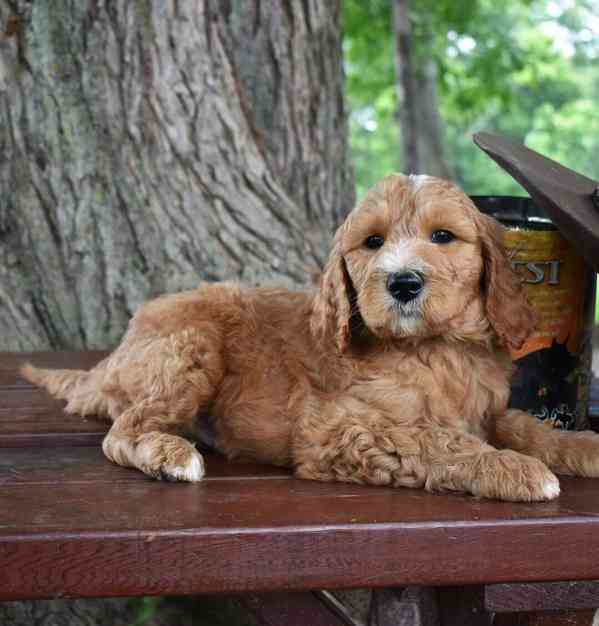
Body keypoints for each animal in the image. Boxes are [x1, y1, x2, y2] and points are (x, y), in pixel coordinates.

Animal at [21, 173, 599, 500]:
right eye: (373, 242)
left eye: (442, 236)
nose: (403, 283)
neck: (433, 348)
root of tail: (117, 352)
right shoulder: (337, 428)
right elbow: (435, 438)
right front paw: (512, 468)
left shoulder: (487, 410)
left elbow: (527, 426)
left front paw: (579, 446)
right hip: (192, 346)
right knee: (122, 430)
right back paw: (172, 455)